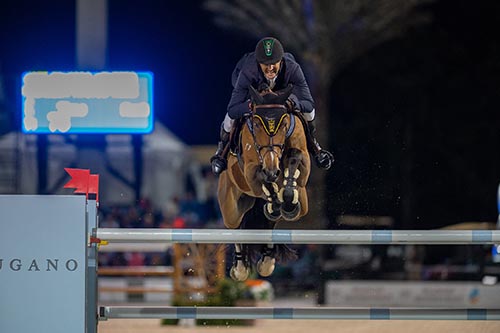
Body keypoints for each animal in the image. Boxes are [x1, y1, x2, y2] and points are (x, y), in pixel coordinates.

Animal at [217, 83, 310, 280]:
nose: (273, 169)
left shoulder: (303, 161)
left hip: (303, 204)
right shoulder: (250, 169)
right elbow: (261, 175)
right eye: (257, 124)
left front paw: (288, 201)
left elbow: (295, 156)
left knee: (271, 220)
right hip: (231, 207)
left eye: (284, 124)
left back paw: (267, 260)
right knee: (236, 227)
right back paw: (240, 269)